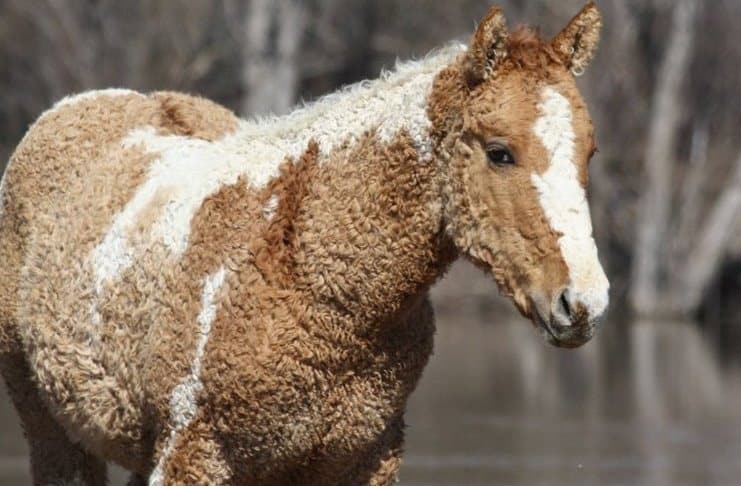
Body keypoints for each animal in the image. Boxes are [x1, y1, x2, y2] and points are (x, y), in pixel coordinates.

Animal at [0, 3, 608, 486]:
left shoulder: (362, 461)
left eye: (589, 153)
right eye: (500, 152)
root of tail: (68, 110)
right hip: (51, 427)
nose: (583, 302)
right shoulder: (192, 456)